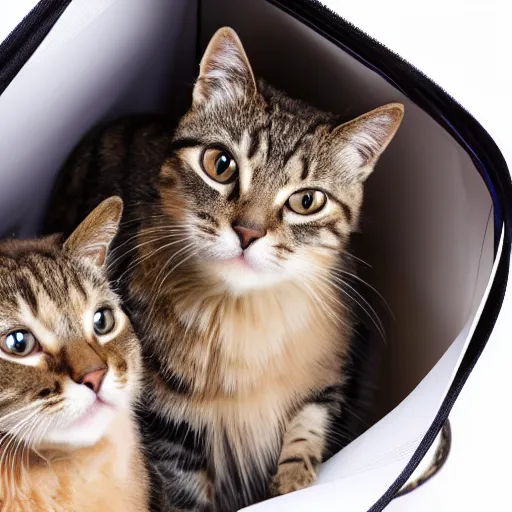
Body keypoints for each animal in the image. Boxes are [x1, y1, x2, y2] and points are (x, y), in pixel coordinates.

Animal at [43, 29, 404, 512]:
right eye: (221, 164)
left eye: (307, 201)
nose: (248, 232)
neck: (242, 317)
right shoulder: (166, 428)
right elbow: (186, 493)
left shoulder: (329, 378)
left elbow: (307, 428)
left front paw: (293, 485)